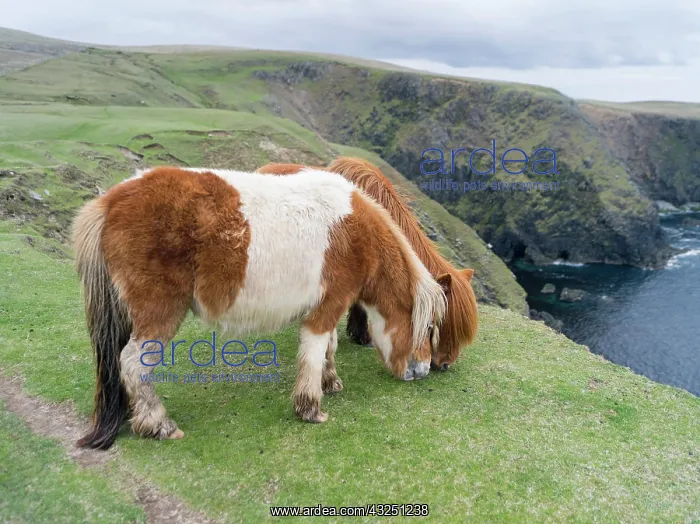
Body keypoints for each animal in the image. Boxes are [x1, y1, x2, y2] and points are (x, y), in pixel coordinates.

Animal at [72, 165, 448, 450]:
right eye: (430, 328)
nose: (423, 370)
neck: (356, 231)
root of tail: (112, 200)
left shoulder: (330, 305)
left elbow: (329, 347)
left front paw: (329, 381)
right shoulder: (327, 307)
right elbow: (315, 352)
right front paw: (310, 407)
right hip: (159, 313)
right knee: (132, 363)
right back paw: (158, 424)